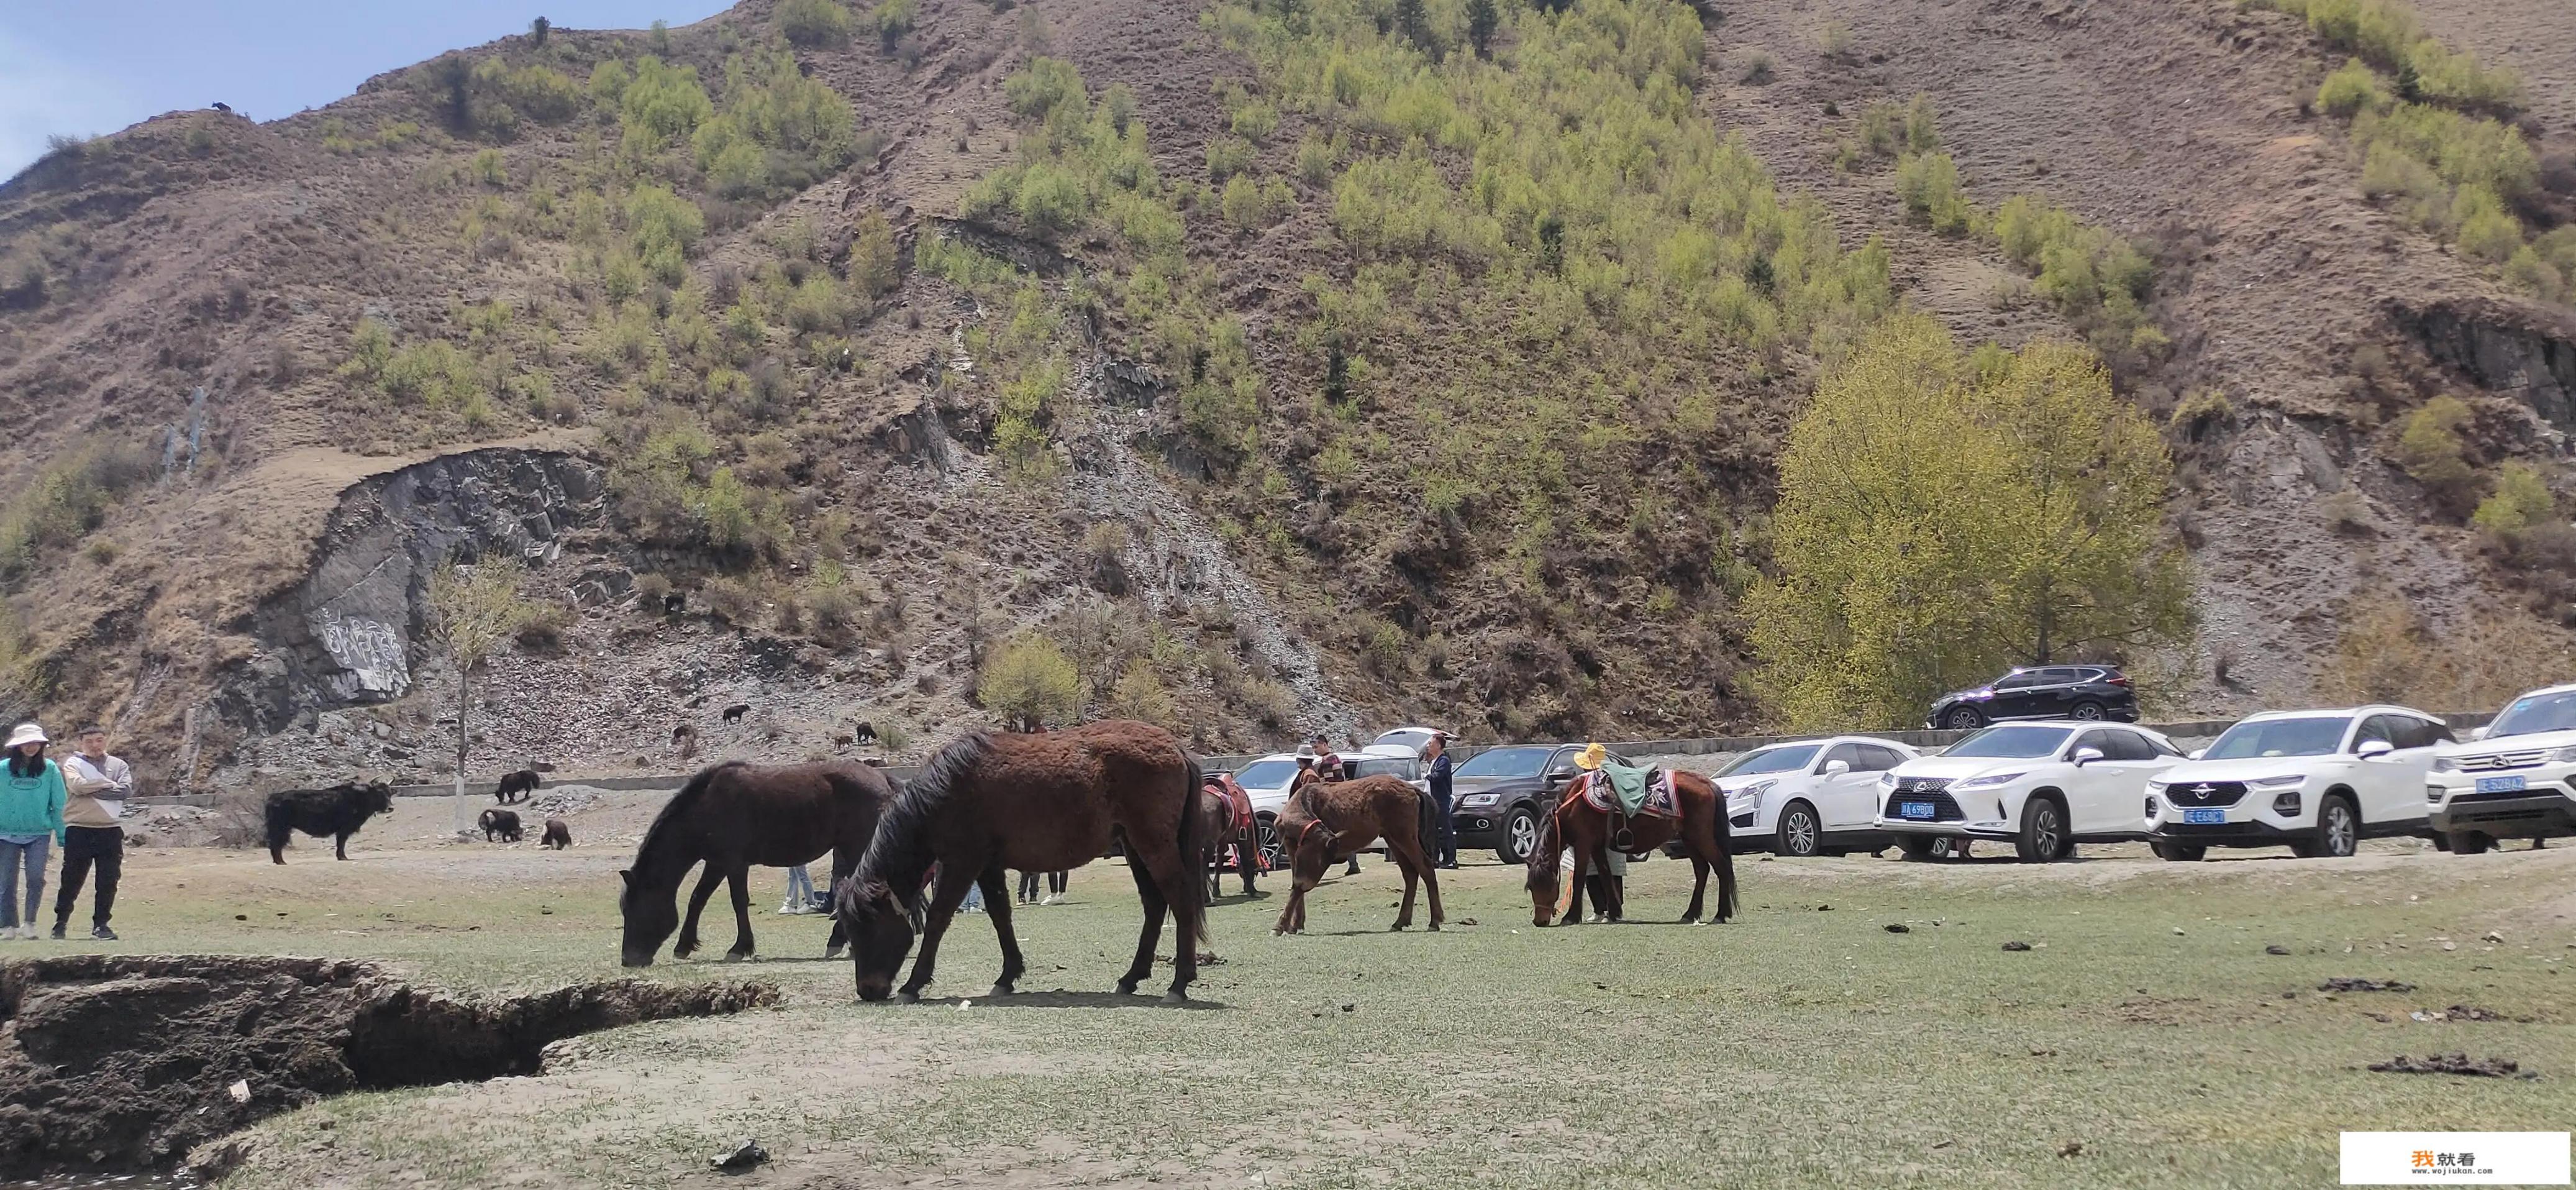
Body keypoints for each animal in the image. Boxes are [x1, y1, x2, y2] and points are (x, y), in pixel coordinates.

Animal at [264, 783, 394, 865]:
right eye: (379, 794)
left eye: (390, 794)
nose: (390, 808)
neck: (361, 798)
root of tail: (272, 798)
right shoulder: (344, 829)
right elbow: (341, 843)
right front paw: (343, 857)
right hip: (281, 828)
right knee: (276, 843)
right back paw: (281, 862)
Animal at [612, 762, 896, 968]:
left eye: (635, 909)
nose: (628, 960)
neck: (705, 807)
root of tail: (882, 778)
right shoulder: (716, 864)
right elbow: (697, 899)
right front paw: (684, 946)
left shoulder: (734, 864)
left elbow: (738, 902)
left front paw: (739, 948)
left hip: (857, 849)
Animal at [839, 716, 1211, 1004]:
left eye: (870, 927)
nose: (868, 990)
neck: (947, 790)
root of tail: (1177, 748)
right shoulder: (987, 866)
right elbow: (1000, 915)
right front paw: (1008, 976)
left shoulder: (962, 863)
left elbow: (938, 919)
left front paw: (913, 984)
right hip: (1135, 847)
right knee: (1154, 905)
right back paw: (1132, 977)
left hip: (1154, 846)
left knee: (1180, 901)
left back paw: (1179, 983)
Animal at [1272, 772, 1442, 937]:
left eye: (1324, 863)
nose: (1309, 884)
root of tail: (1414, 790)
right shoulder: (1291, 848)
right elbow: (1296, 882)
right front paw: (1295, 924)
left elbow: (1297, 885)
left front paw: (1281, 926)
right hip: (1392, 837)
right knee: (1410, 873)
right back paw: (1401, 921)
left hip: (1404, 835)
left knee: (1425, 867)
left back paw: (1434, 921)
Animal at [1525, 767, 1731, 927]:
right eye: (1531, 887)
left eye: (1548, 886)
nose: (1539, 921)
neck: (1574, 805)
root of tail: (1706, 783)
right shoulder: (1597, 846)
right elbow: (1606, 875)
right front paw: (1614, 913)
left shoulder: (1583, 844)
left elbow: (1579, 879)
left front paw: (1571, 917)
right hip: (1690, 840)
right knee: (1702, 870)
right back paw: (1690, 914)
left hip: (1701, 838)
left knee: (1721, 867)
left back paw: (1721, 914)